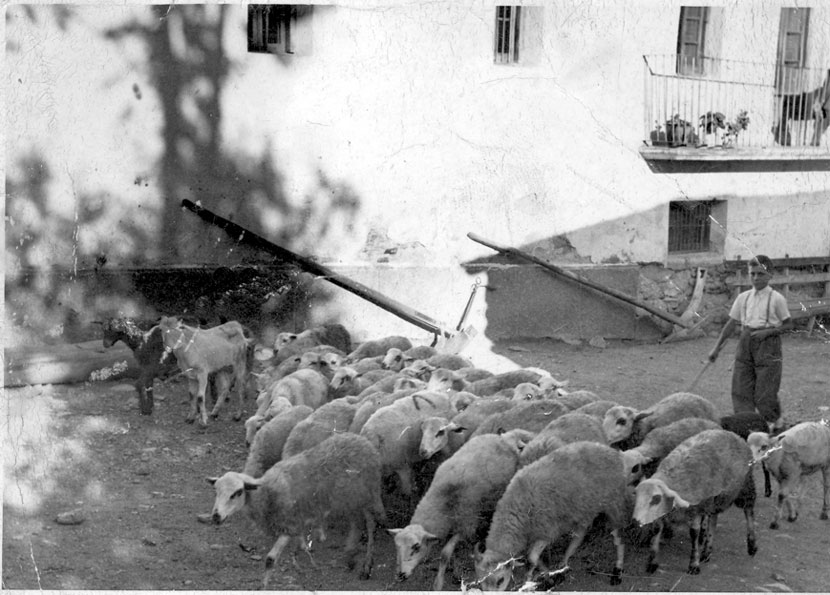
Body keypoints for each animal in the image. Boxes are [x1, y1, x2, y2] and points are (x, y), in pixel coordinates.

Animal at [211, 430, 386, 588]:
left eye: (237, 493)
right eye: (216, 491)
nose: (216, 517)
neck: (266, 493)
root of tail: (365, 442)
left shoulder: (288, 525)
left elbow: (270, 560)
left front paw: (265, 585)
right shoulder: (295, 522)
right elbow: (299, 544)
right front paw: (300, 558)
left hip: (365, 495)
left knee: (370, 525)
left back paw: (366, 565)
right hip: (349, 500)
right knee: (356, 522)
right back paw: (351, 555)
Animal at [390, 434, 528, 592]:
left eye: (416, 547)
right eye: (397, 547)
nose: (400, 575)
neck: (443, 497)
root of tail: (503, 437)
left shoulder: (467, 525)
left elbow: (445, 554)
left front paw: (438, 584)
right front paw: (455, 572)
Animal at [474, 440, 632, 588]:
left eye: (500, 580)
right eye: (481, 583)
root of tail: (614, 453)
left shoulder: (547, 531)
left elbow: (532, 558)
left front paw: (531, 579)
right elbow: (535, 559)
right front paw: (547, 575)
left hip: (614, 503)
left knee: (619, 538)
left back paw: (617, 571)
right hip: (583, 509)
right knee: (580, 534)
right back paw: (564, 563)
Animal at [632, 430, 756, 576]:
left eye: (656, 498)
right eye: (636, 496)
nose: (635, 521)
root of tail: (733, 434)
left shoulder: (697, 508)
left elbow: (694, 534)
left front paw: (694, 564)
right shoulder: (663, 514)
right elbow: (657, 530)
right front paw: (652, 562)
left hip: (745, 485)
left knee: (749, 510)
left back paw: (752, 545)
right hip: (714, 498)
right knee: (713, 519)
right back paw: (707, 551)